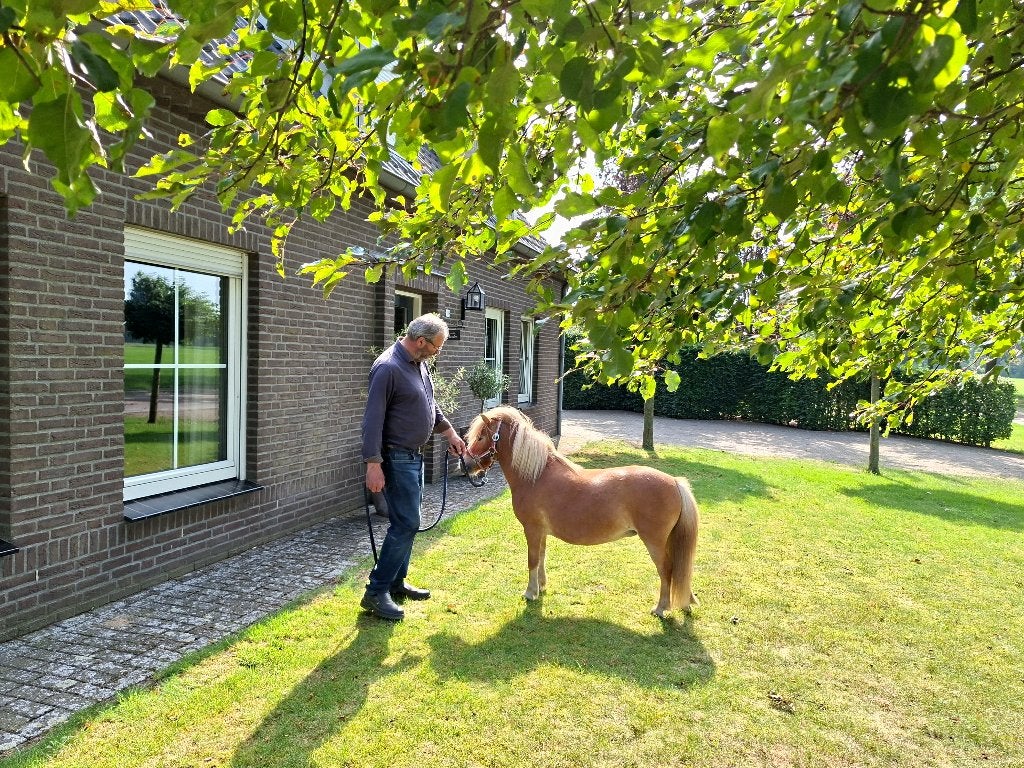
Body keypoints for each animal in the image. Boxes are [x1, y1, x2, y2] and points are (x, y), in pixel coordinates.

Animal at [463, 406, 699, 617]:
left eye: (481, 437)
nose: (464, 464)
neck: (536, 476)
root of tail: (675, 482)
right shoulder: (541, 533)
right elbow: (541, 557)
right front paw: (541, 587)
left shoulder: (532, 530)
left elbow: (532, 560)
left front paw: (530, 593)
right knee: (680, 570)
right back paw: (686, 603)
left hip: (654, 542)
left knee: (667, 571)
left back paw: (660, 609)